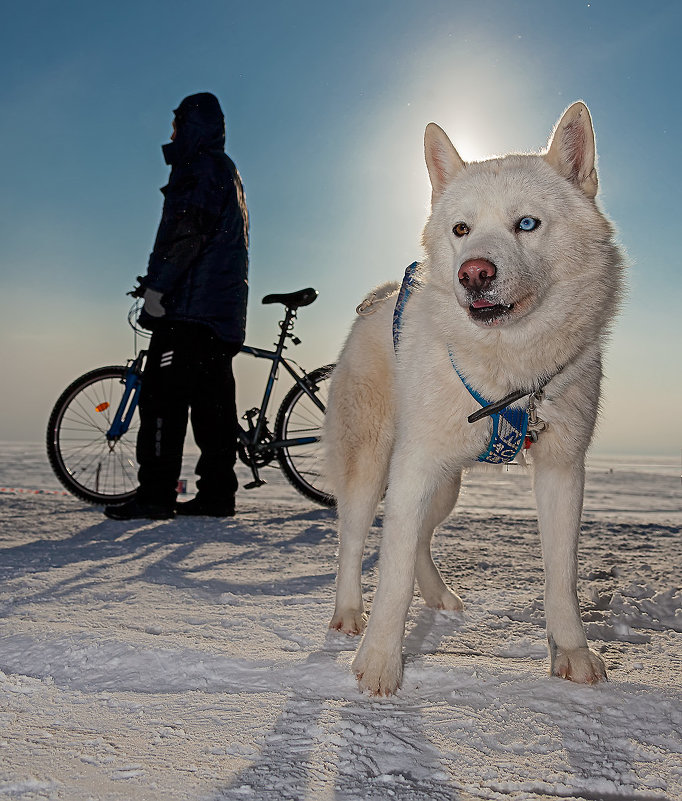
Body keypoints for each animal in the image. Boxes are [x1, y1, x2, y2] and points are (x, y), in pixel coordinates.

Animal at [324, 101, 620, 692]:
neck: (509, 369)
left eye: (526, 223)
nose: (474, 273)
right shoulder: (413, 464)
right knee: (354, 535)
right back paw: (348, 614)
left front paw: (572, 652)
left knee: (417, 538)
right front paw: (379, 665)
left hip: (445, 486)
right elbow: (390, 577)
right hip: (372, 461)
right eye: (461, 229)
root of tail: (377, 301)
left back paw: (437, 596)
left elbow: (562, 575)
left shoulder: (562, 469)